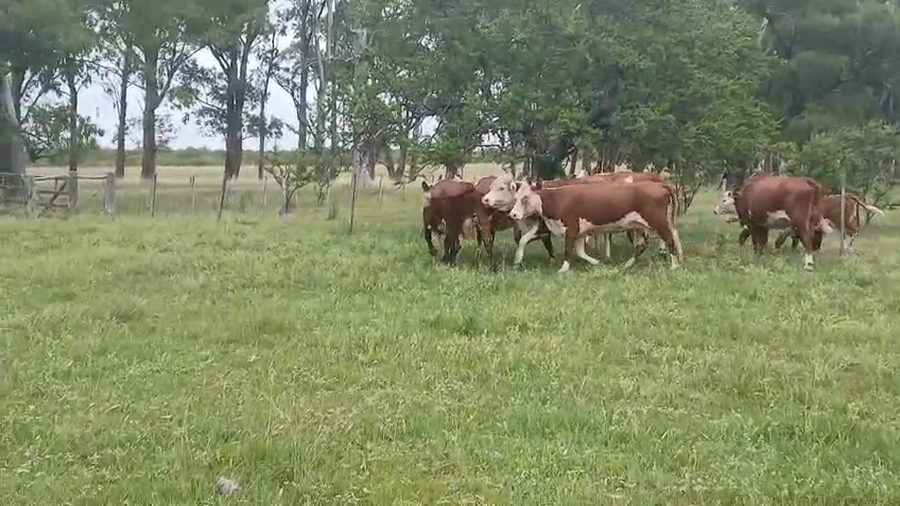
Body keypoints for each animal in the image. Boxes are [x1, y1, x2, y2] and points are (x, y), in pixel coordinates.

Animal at [507, 179, 683, 272]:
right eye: (515, 198)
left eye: (525, 198)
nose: (513, 215)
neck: (558, 200)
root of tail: (659, 184)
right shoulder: (579, 232)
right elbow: (580, 252)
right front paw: (597, 262)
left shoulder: (571, 229)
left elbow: (568, 250)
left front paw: (563, 269)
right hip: (642, 226)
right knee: (642, 245)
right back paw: (628, 264)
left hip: (658, 222)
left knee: (669, 239)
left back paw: (674, 266)